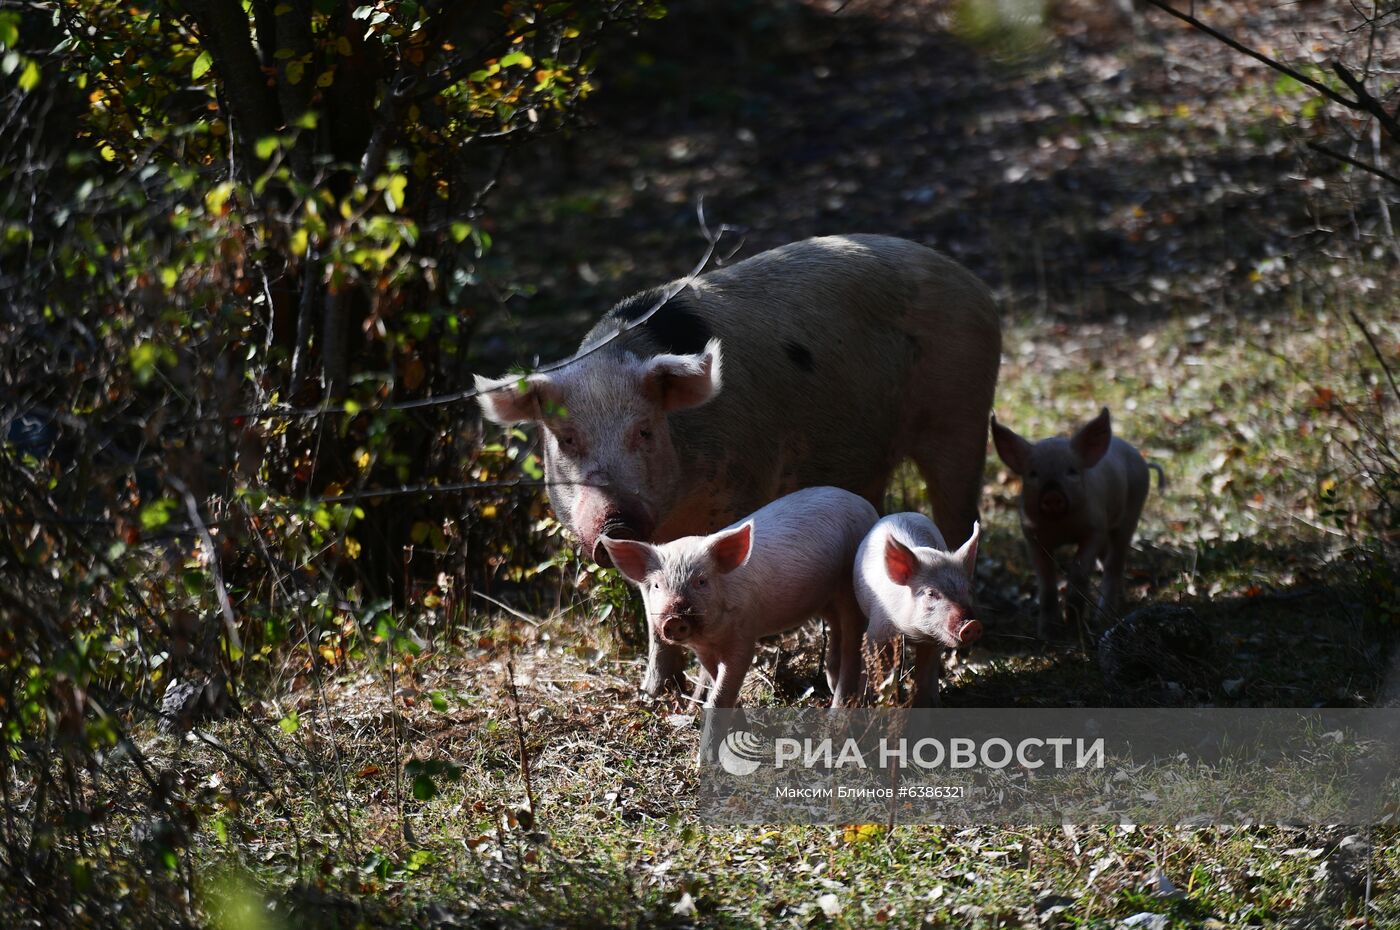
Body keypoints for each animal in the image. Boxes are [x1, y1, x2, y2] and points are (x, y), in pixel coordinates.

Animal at [476, 236, 1002, 694]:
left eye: (645, 430)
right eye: (566, 439)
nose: (616, 522)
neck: (677, 508)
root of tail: (973, 283)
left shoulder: (741, 487)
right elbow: (649, 601)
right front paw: (654, 692)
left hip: (963, 413)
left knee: (959, 514)